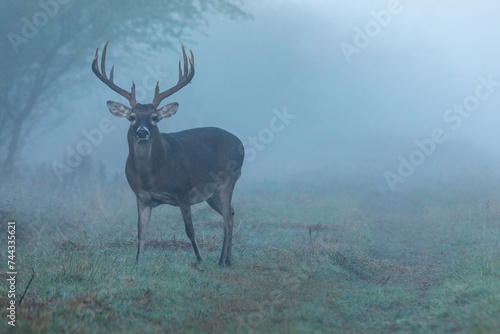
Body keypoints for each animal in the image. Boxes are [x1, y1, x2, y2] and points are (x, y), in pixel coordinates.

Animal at [93, 41, 245, 266]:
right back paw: (228, 260)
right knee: (232, 213)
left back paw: (219, 261)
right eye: (132, 117)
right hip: (211, 193)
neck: (151, 177)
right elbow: (141, 232)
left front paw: (199, 259)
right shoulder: (141, 197)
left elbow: (190, 230)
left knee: (226, 218)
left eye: (155, 117)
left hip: (228, 179)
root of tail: (241, 143)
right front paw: (137, 263)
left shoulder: (183, 190)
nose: (142, 131)